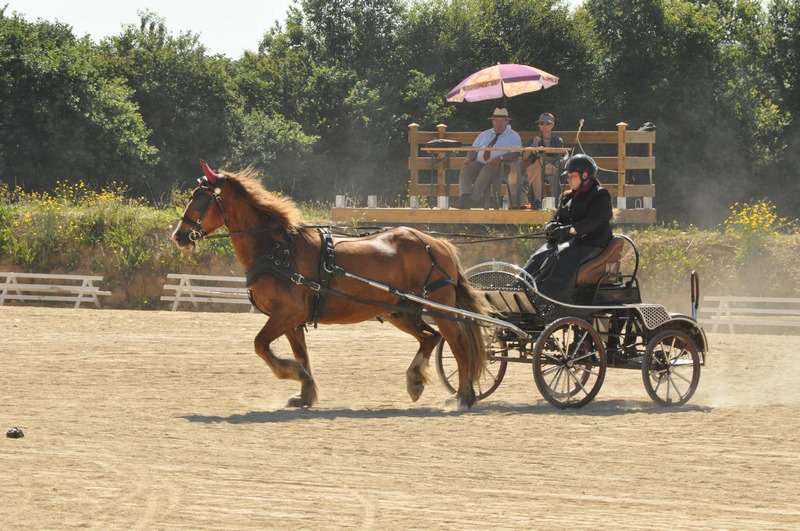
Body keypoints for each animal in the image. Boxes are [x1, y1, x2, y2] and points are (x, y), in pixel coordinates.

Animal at [171, 160, 490, 409]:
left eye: (198, 198)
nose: (178, 235)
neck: (278, 249)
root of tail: (437, 243)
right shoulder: (292, 320)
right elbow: (300, 353)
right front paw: (305, 392)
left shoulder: (284, 314)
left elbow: (260, 345)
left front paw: (295, 374)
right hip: (398, 311)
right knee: (430, 338)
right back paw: (415, 381)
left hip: (440, 308)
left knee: (458, 345)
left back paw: (462, 397)